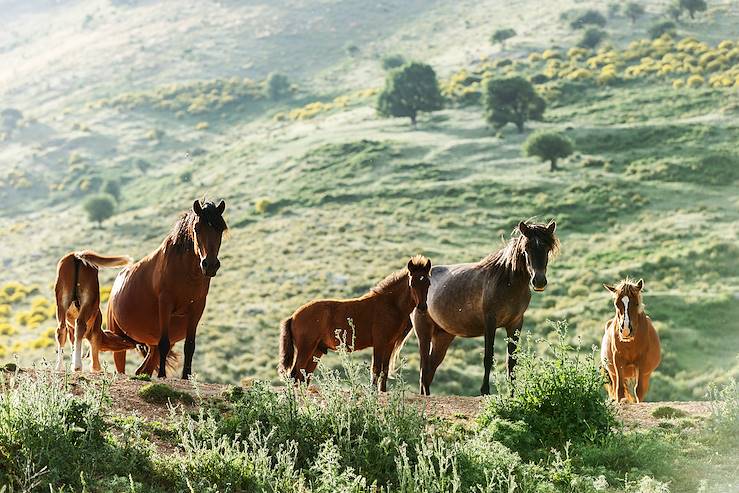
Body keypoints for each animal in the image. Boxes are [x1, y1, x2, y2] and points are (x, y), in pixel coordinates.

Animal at [104, 200, 225, 376]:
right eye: (197, 228)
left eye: (220, 228)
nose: (209, 265)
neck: (186, 272)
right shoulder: (165, 305)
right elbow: (164, 344)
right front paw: (162, 376)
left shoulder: (197, 309)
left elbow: (189, 346)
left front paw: (186, 377)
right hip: (119, 341)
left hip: (150, 344)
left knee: (143, 369)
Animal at [282, 256, 434, 390]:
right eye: (412, 283)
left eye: (428, 283)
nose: (422, 307)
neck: (390, 304)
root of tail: (293, 317)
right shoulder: (379, 343)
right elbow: (376, 369)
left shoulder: (389, 344)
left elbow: (384, 371)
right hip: (306, 349)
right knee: (295, 374)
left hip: (316, 351)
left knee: (303, 377)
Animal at [410, 221, 560, 394]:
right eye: (526, 248)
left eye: (547, 248)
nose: (539, 281)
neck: (508, 282)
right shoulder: (490, 322)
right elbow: (488, 356)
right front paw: (485, 391)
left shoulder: (515, 323)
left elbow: (511, 361)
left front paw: (512, 394)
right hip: (424, 333)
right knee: (423, 370)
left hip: (442, 336)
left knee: (428, 371)